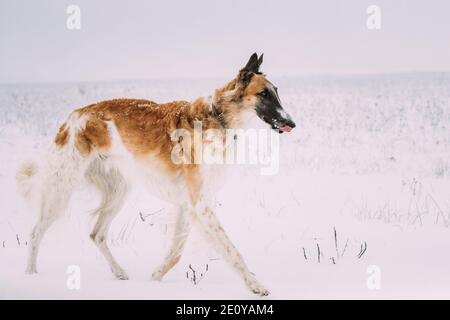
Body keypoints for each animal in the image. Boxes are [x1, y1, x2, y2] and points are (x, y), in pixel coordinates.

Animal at [17, 53, 296, 296]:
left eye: (277, 91)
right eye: (263, 94)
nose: (292, 123)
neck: (218, 118)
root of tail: (73, 116)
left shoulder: (188, 205)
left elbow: (175, 253)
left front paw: (154, 279)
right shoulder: (199, 205)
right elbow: (233, 252)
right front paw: (255, 285)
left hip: (119, 190)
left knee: (96, 234)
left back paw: (119, 272)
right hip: (62, 190)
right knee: (35, 233)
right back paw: (30, 275)